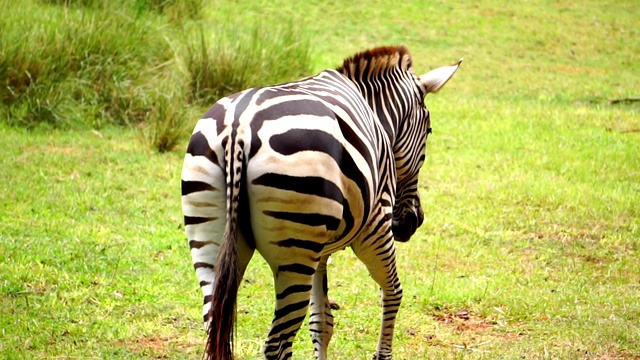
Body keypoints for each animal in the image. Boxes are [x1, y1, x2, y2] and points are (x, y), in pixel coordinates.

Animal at [180, 45, 460, 360]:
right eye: (429, 131)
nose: (414, 221)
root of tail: (238, 129)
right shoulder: (374, 228)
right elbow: (393, 292)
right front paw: (382, 355)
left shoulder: (321, 252)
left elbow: (321, 322)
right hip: (296, 252)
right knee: (277, 344)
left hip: (211, 236)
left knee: (213, 326)